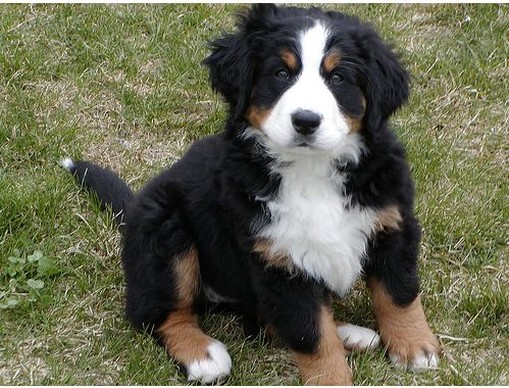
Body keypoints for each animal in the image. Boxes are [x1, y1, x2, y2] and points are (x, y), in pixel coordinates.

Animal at [63, 3, 438, 384]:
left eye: (337, 78)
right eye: (281, 73)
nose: (306, 121)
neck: (311, 170)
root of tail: (134, 207)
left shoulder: (393, 224)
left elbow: (398, 292)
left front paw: (414, 347)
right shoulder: (277, 261)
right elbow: (311, 334)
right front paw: (332, 378)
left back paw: (352, 333)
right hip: (166, 231)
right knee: (157, 312)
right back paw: (201, 353)